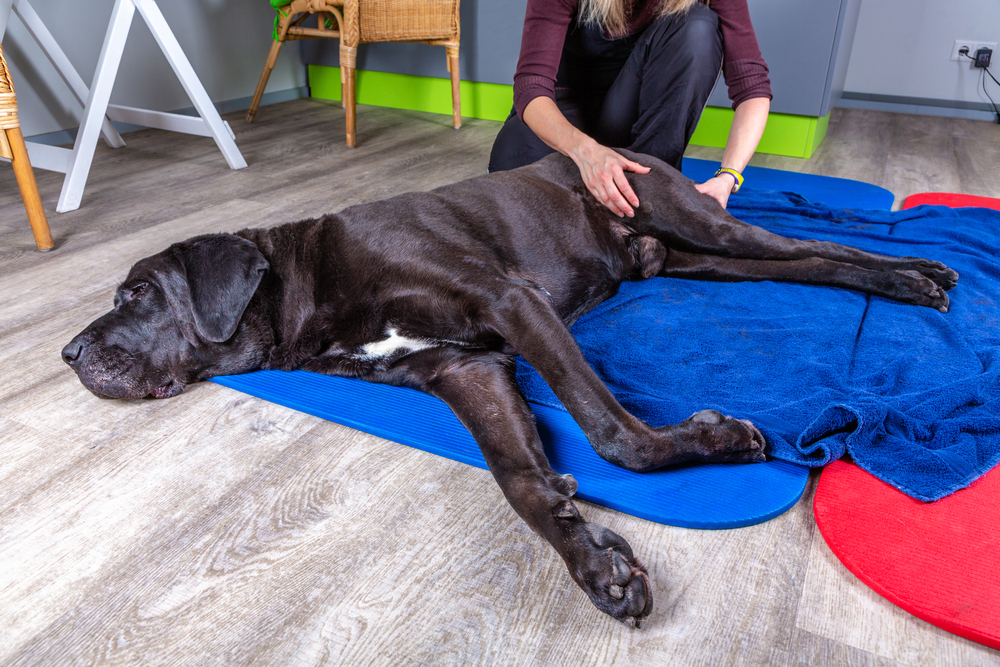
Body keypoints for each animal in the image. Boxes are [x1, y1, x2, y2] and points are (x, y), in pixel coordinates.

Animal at [62, 150, 952, 628]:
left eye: (137, 293)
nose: (68, 353)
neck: (306, 284)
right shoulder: (466, 368)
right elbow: (521, 479)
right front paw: (594, 561)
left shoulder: (511, 302)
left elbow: (611, 433)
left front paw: (715, 438)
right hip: (693, 255)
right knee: (806, 263)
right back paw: (909, 277)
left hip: (698, 220)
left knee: (815, 243)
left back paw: (917, 274)